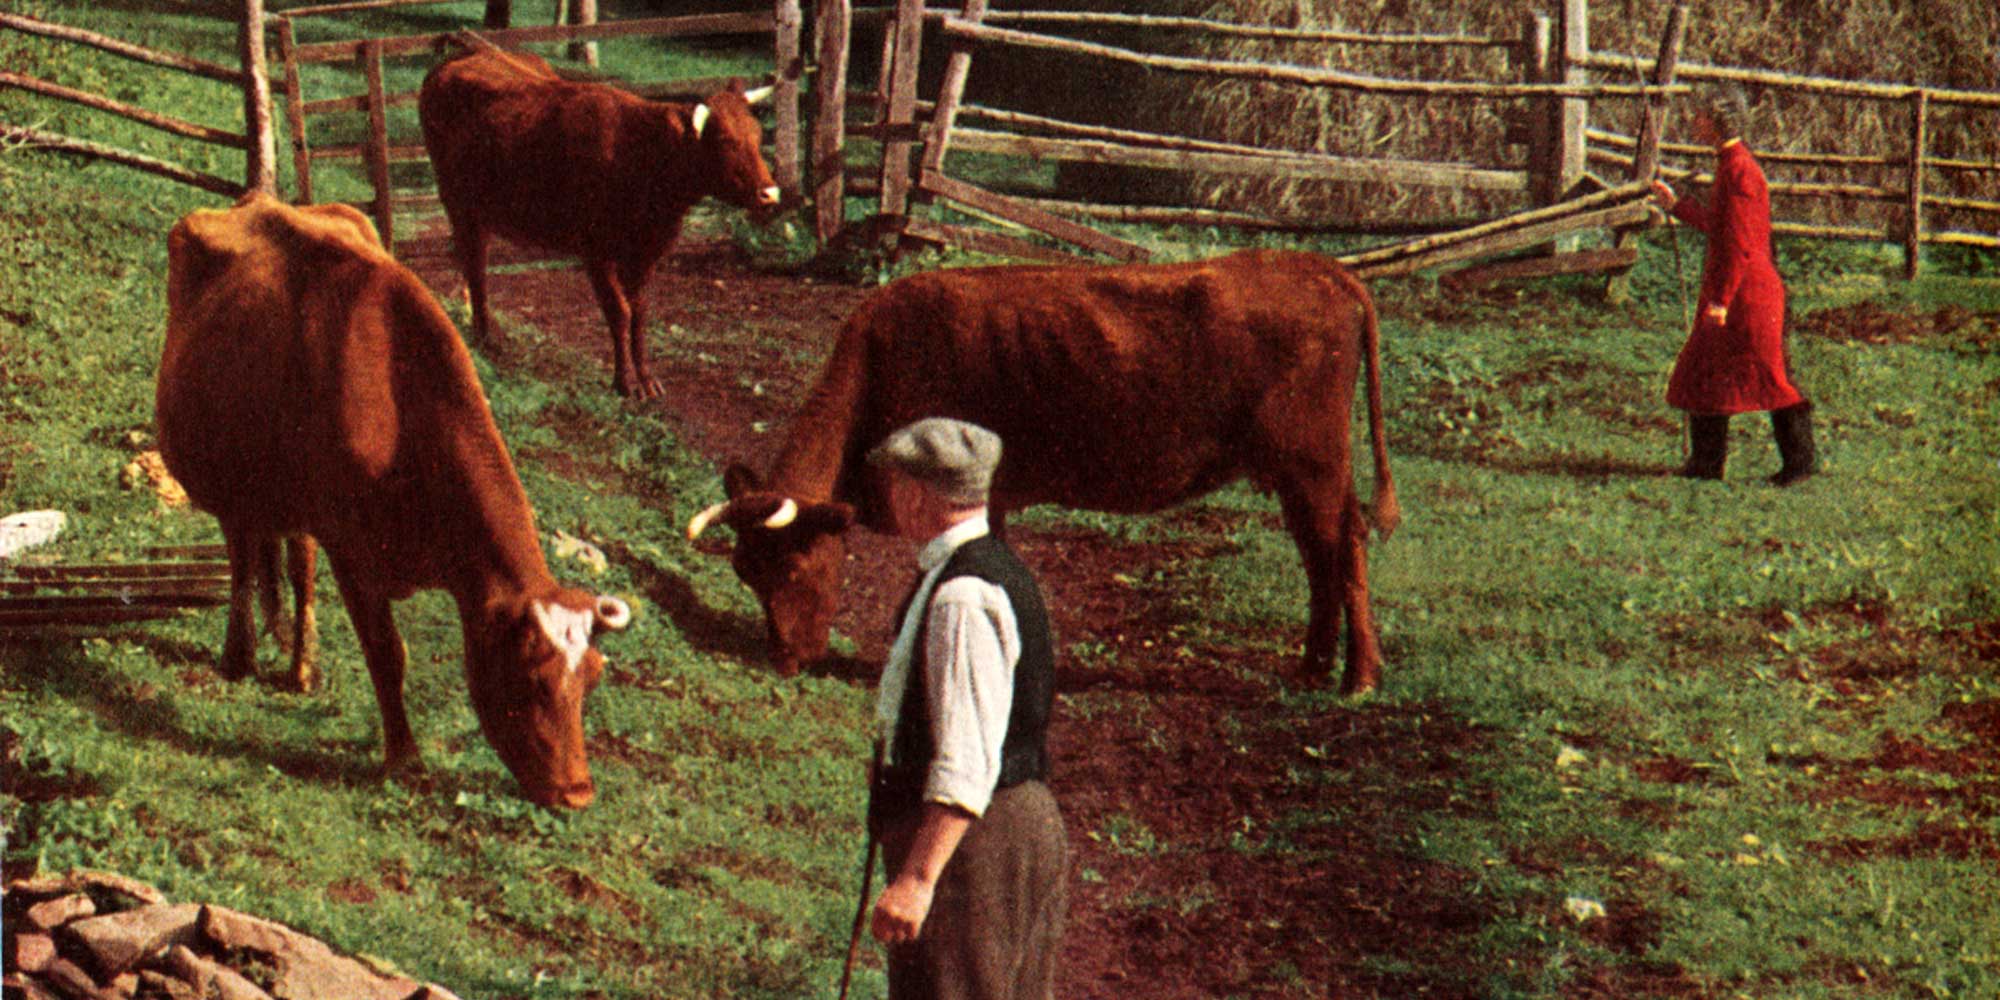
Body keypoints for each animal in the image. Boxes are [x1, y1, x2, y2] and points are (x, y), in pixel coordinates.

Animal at [156, 192, 632, 809]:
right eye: (529, 676)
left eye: (592, 674)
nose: (577, 793)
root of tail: (255, 200)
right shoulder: (350, 550)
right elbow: (387, 652)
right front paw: (403, 758)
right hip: (232, 479)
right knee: (242, 551)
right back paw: (241, 655)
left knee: (295, 561)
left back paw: (300, 663)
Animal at [418, 47, 783, 399]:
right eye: (724, 141)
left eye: (757, 135)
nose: (770, 193)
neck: (640, 154)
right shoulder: (596, 251)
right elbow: (618, 312)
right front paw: (625, 383)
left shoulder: (646, 252)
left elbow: (639, 314)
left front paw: (647, 380)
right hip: (459, 204)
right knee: (476, 267)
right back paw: (485, 340)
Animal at [685, 249, 1400, 694]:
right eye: (743, 570)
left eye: (796, 565)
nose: (783, 660)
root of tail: (1316, 267)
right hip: (1300, 471)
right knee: (1324, 553)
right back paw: (1317, 669)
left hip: (1313, 462)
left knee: (1342, 547)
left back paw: (1358, 677)